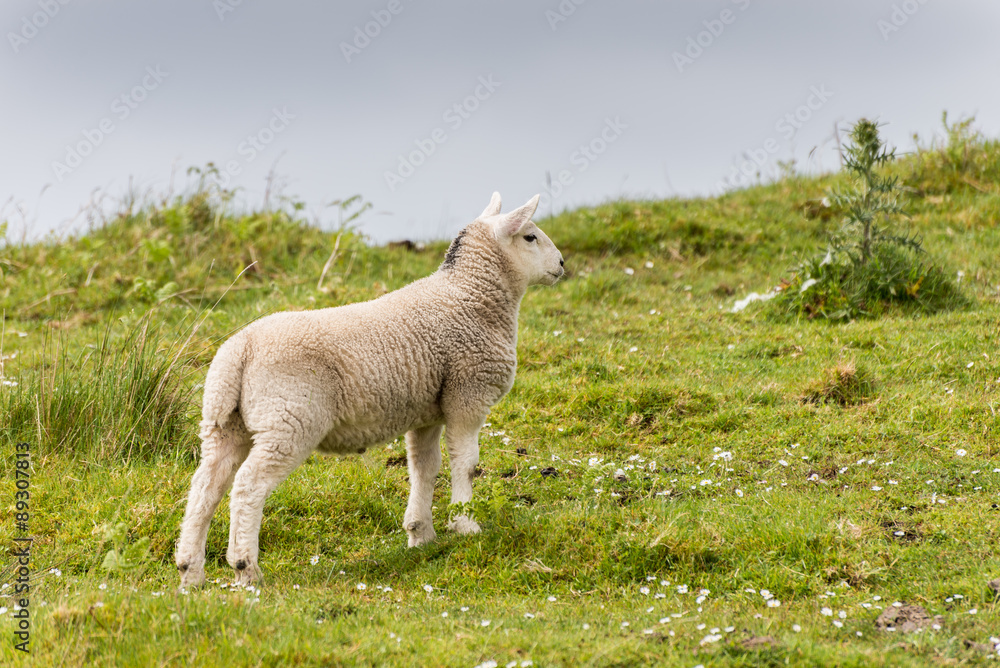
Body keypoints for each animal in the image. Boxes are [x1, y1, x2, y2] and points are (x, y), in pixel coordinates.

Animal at [175, 192, 564, 587]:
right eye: (530, 237)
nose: (562, 264)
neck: (468, 295)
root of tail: (239, 352)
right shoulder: (467, 393)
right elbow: (466, 464)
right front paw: (465, 525)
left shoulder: (428, 409)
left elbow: (424, 467)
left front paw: (421, 534)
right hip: (289, 419)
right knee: (247, 486)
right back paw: (245, 567)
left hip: (224, 424)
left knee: (205, 487)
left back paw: (191, 571)